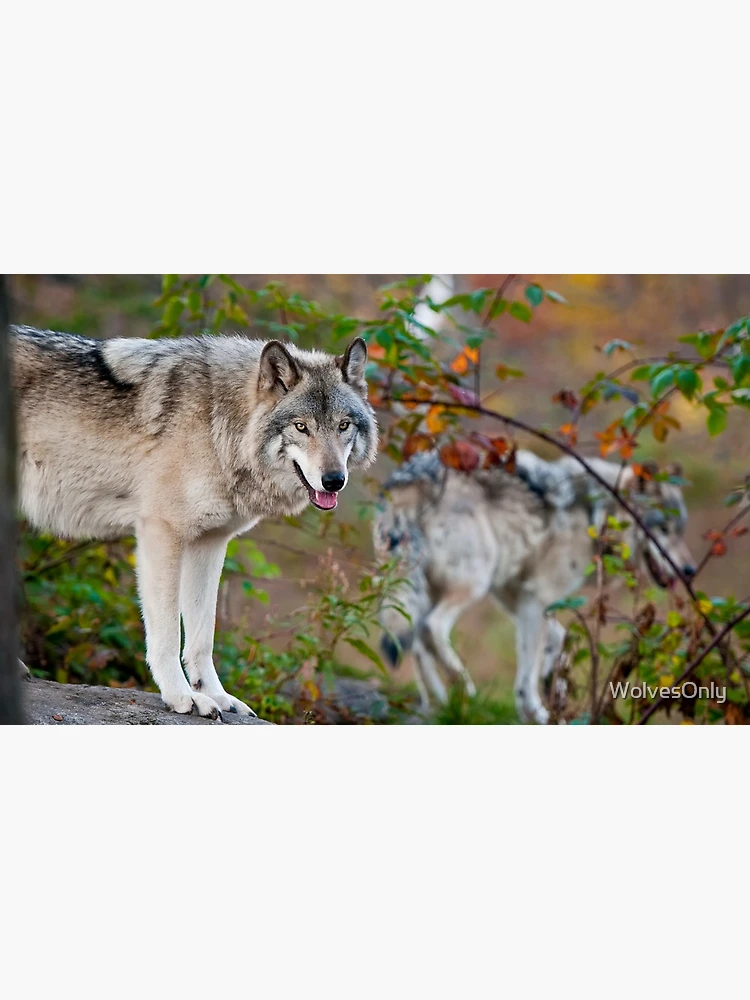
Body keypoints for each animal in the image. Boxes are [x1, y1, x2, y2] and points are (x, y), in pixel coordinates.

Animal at [11, 326, 377, 719]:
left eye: (343, 426)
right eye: (301, 427)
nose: (334, 480)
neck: (219, 424)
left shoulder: (210, 542)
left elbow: (203, 637)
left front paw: (216, 695)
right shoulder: (161, 533)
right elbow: (169, 633)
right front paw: (180, 696)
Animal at [374, 449, 694, 723]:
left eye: (681, 530)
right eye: (663, 528)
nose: (689, 571)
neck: (596, 514)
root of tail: (408, 479)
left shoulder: (518, 598)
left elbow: (560, 638)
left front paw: (555, 682)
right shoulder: (537, 599)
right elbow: (526, 680)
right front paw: (537, 714)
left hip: (423, 592)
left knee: (415, 640)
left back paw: (440, 705)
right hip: (472, 584)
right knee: (431, 628)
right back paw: (466, 695)